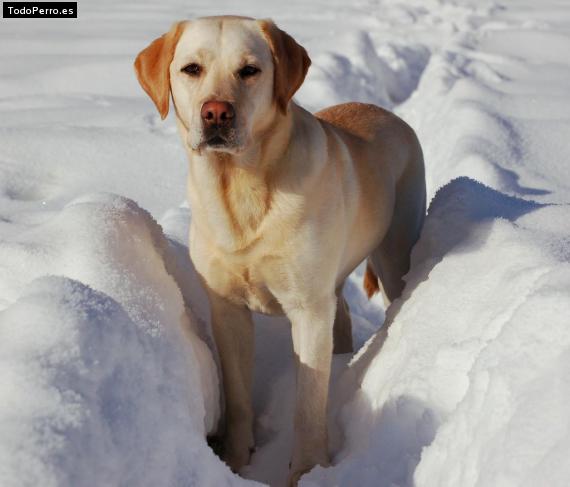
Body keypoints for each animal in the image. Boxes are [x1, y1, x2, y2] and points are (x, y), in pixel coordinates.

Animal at [135, 15, 424, 487]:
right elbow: (238, 397)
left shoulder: (308, 309)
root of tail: (388, 113)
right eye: (192, 69)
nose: (216, 113)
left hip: (394, 251)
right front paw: (236, 463)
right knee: (343, 313)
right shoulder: (228, 309)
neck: (240, 187)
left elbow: (308, 406)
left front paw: (307, 472)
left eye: (249, 70)